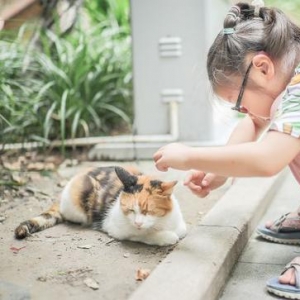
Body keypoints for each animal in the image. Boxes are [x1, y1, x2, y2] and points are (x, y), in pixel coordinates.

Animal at [15, 166, 188, 246]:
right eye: (131, 210)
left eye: (149, 211)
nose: (138, 223)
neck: (159, 223)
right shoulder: (115, 228)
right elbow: (144, 235)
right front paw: (166, 237)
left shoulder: (180, 225)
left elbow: (180, 231)